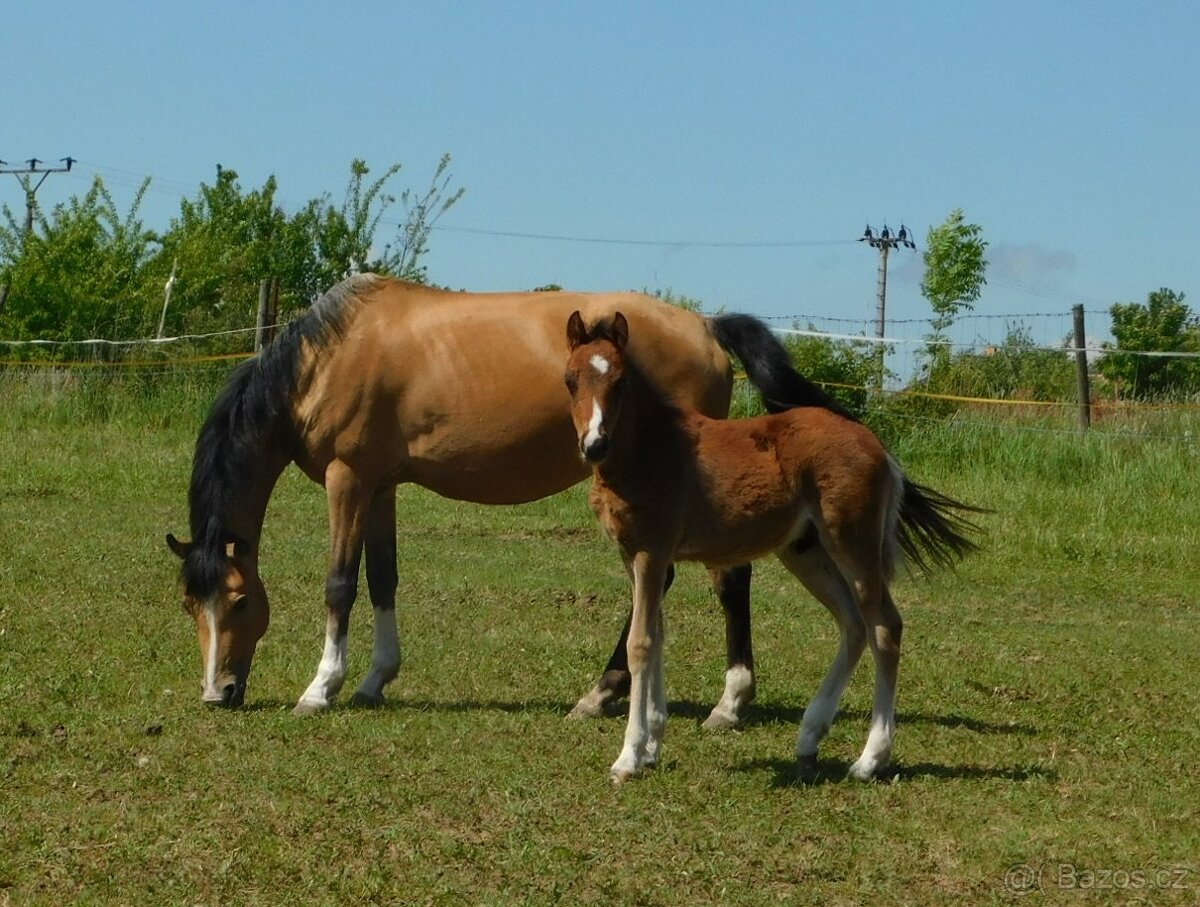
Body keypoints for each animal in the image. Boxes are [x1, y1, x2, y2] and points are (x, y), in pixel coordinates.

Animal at [165, 275, 844, 723]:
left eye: (240, 599)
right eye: (189, 604)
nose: (217, 693)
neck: (324, 360)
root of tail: (704, 327)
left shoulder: (347, 479)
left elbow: (340, 584)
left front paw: (321, 688)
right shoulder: (380, 486)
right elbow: (383, 578)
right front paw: (375, 680)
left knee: (727, 580)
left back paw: (725, 702)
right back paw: (605, 693)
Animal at [563, 310, 983, 782]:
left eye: (619, 382)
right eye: (570, 380)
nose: (594, 444)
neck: (652, 450)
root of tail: (877, 446)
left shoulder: (651, 552)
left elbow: (641, 644)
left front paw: (630, 756)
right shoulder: (632, 554)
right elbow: (656, 635)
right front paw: (652, 744)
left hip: (852, 543)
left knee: (885, 628)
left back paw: (870, 758)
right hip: (805, 551)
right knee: (854, 624)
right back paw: (809, 738)